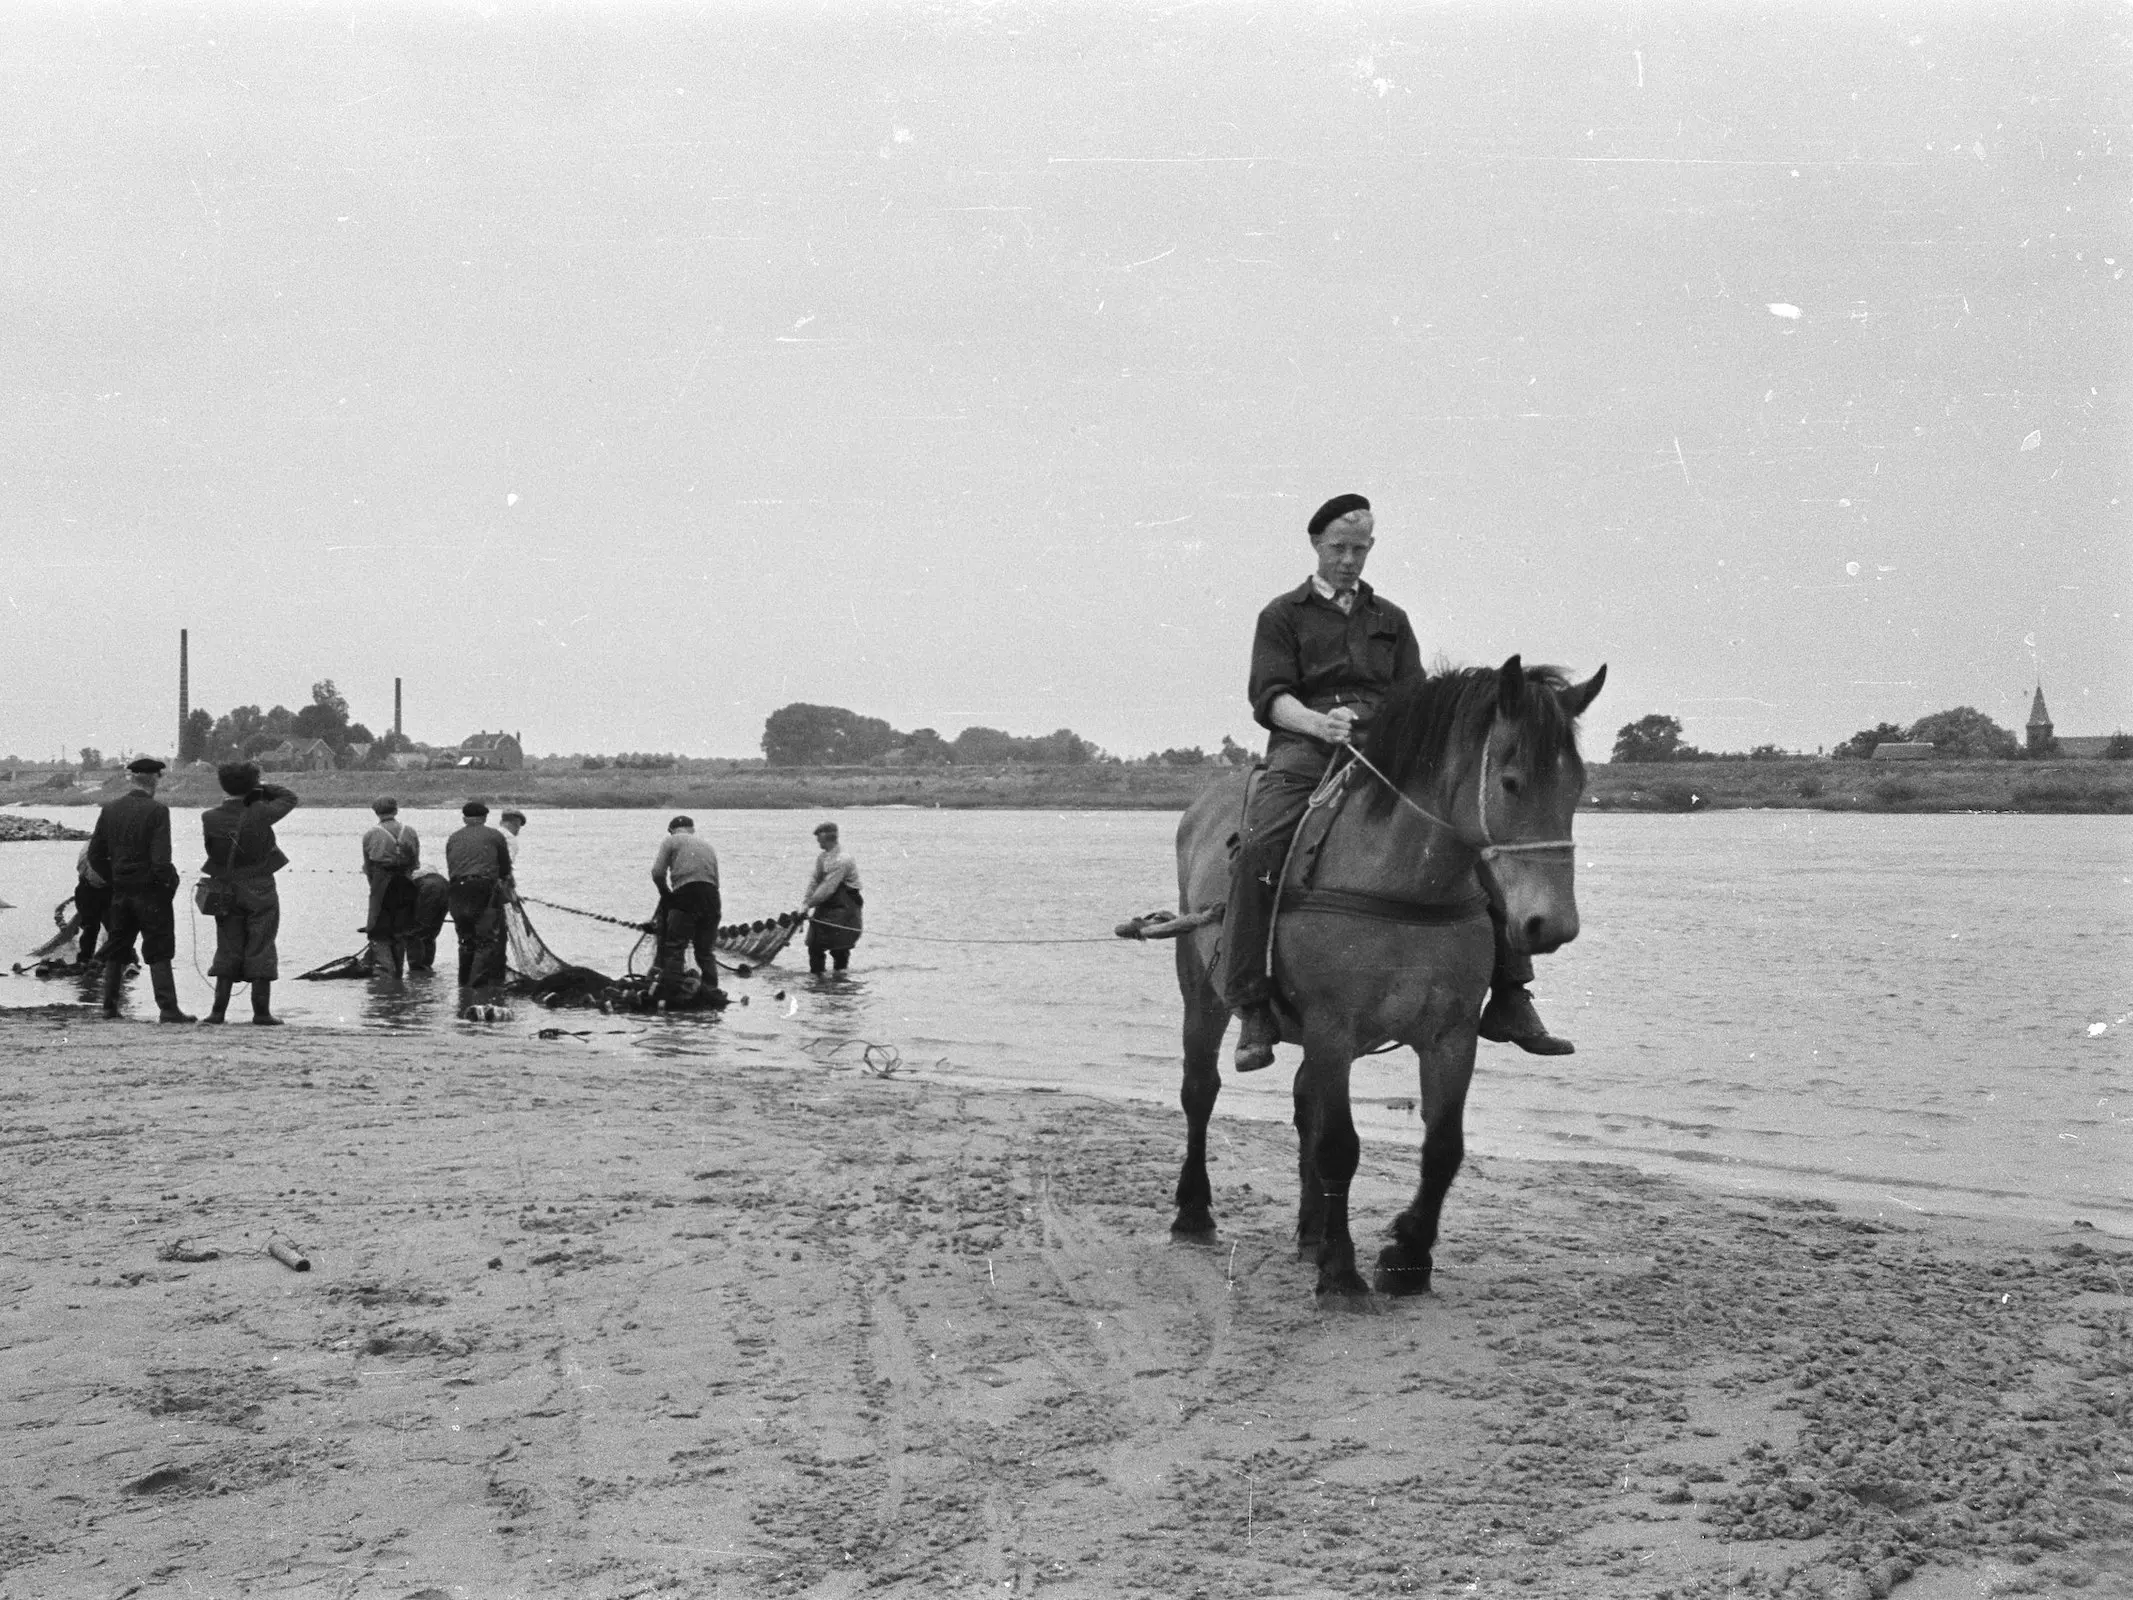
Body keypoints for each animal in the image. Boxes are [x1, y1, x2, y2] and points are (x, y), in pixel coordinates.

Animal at [1168, 661, 1604, 1305]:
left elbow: (1443, 1147)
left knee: (1304, 1103)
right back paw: (1194, 1213)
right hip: (1202, 993)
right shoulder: (1332, 1028)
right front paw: (1341, 1269)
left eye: (1576, 787)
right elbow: (1338, 1146)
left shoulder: (1450, 1036)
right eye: (1511, 782)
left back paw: (1309, 1232)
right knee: (1201, 1091)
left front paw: (1406, 1258)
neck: (1400, 880)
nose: (1552, 925)